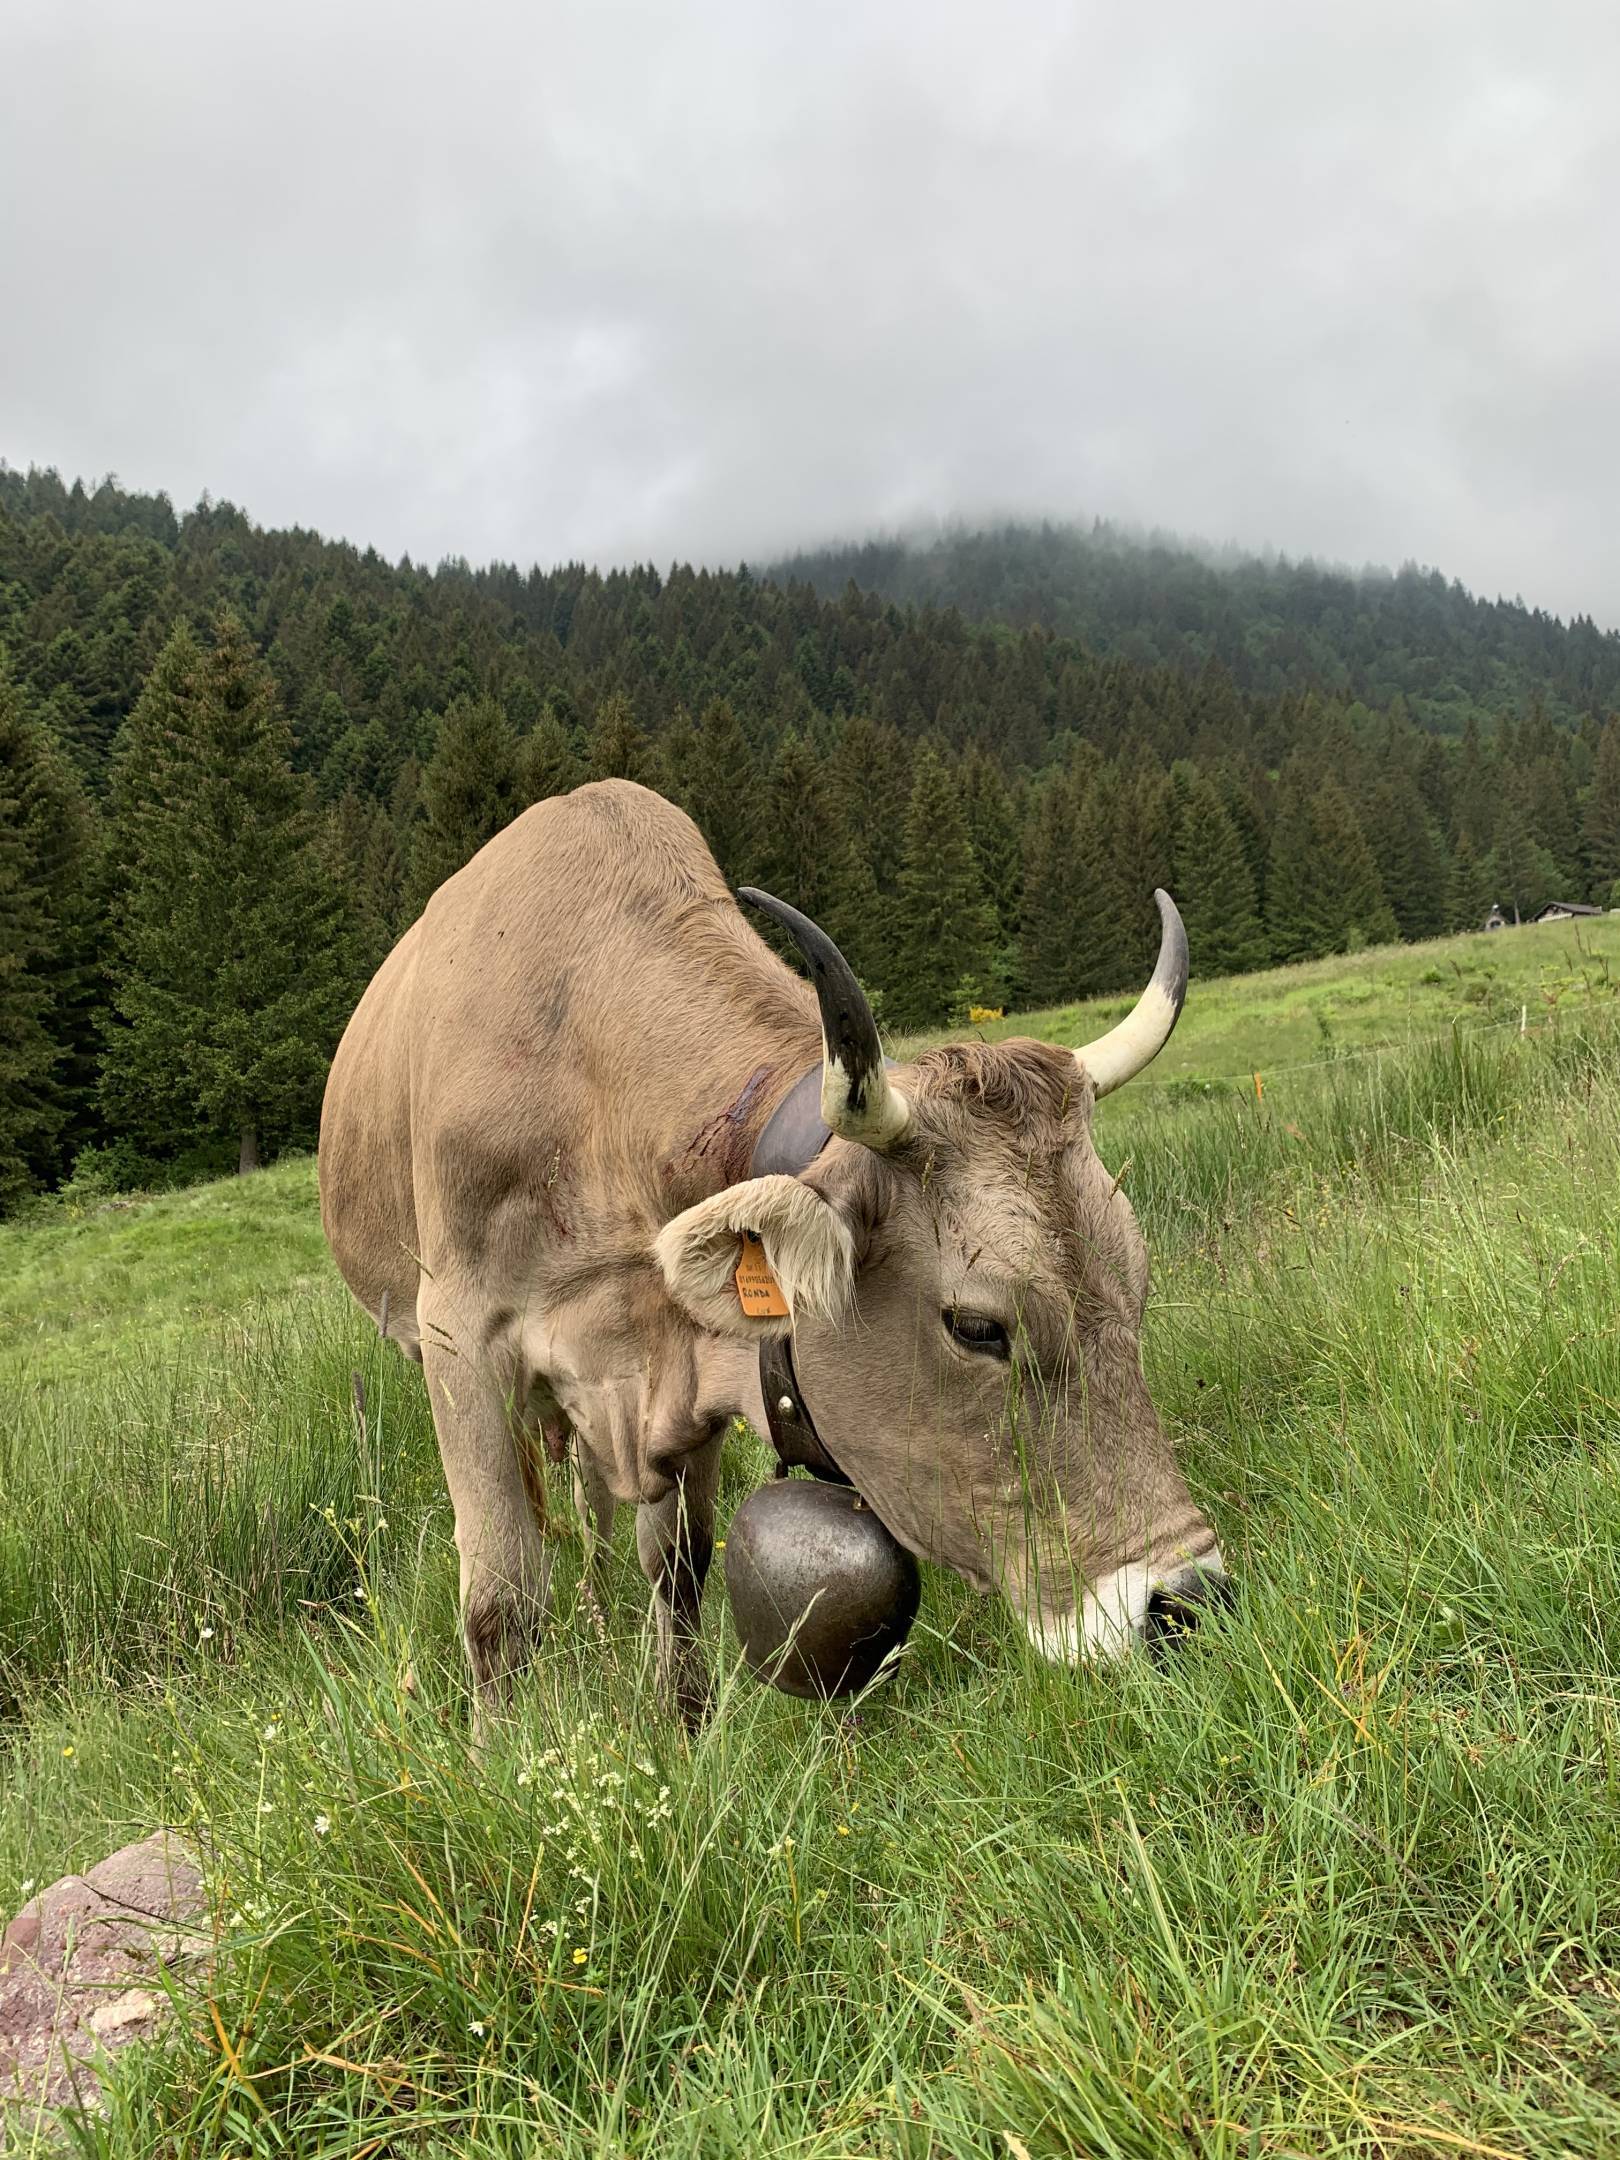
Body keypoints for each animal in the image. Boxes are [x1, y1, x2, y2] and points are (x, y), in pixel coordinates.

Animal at [319, 777, 1226, 1719]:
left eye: (1139, 1283)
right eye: (976, 1327)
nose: (1188, 1605)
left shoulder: (683, 1363)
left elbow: (676, 1566)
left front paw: (680, 1720)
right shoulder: (460, 1341)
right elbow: (501, 1604)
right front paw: (506, 1747)